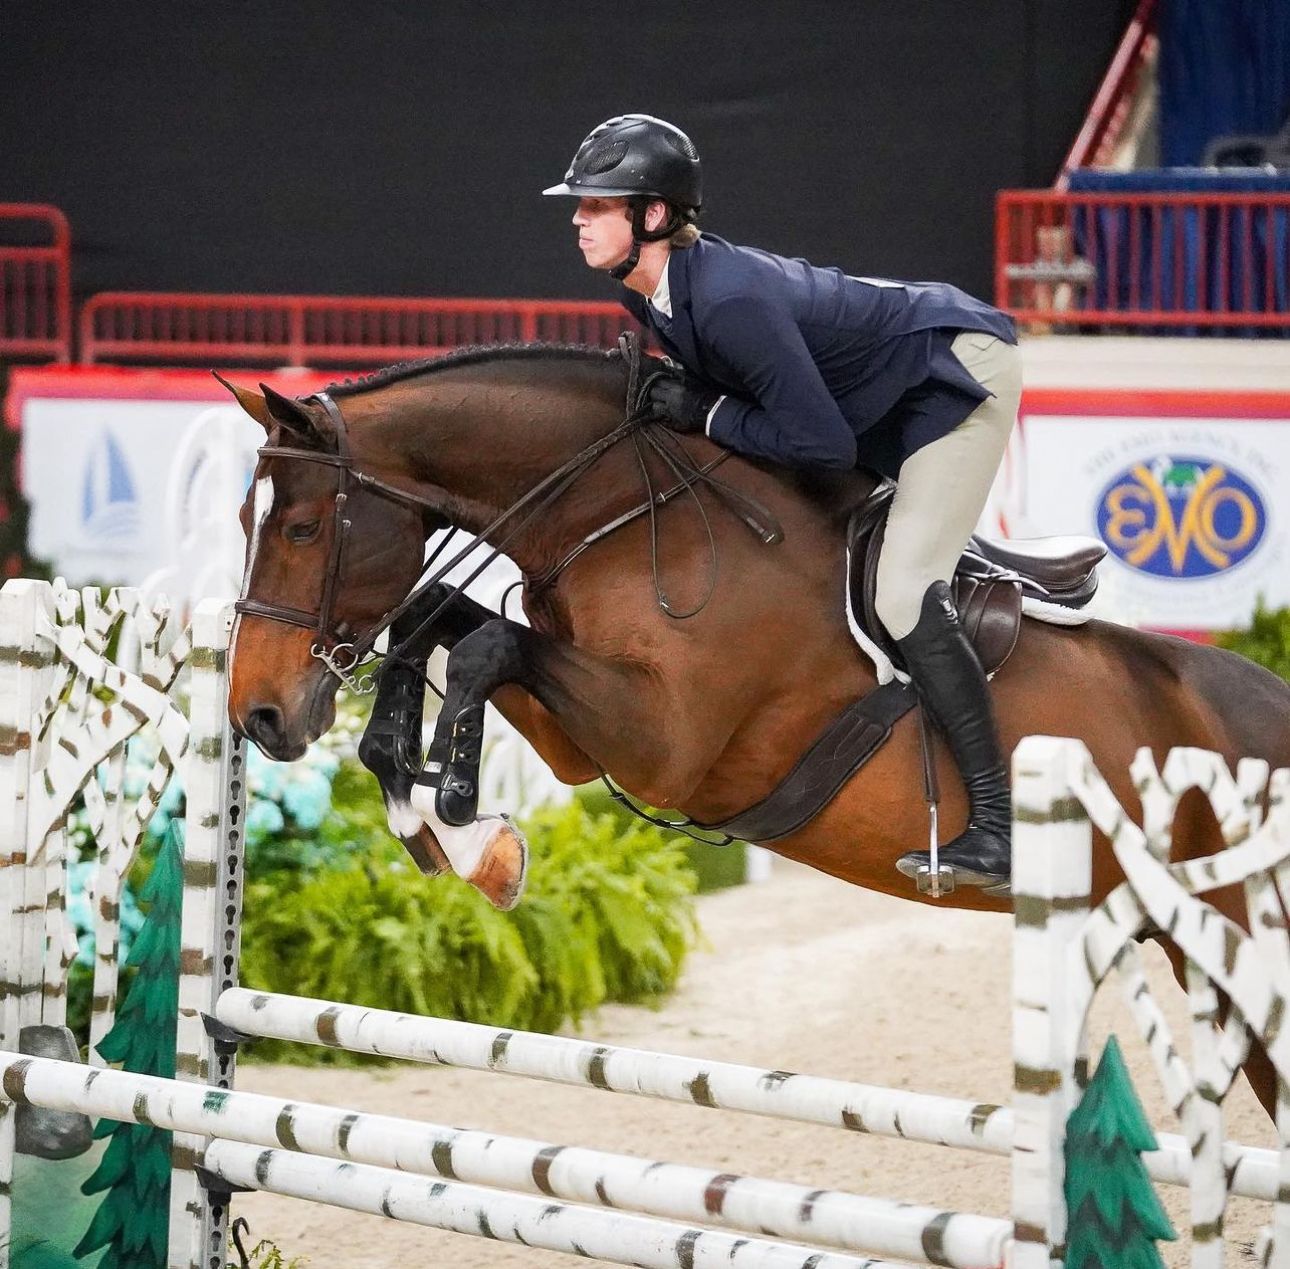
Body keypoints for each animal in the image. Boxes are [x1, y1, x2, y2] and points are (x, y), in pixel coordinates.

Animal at [223, 340, 1290, 1120]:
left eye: (304, 529)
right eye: (245, 520)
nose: (259, 714)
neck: (624, 514)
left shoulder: (663, 741)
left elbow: (483, 645)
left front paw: (464, 820)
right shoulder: (586, 737)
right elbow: (439, 614)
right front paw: (426, 812)